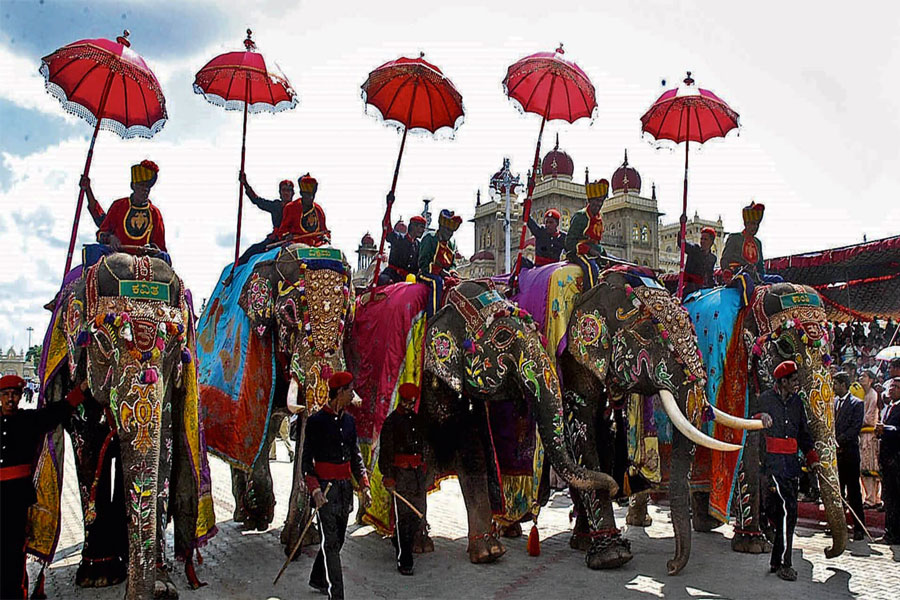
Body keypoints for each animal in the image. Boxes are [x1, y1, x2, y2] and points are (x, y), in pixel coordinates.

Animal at [30, 255, 216, 600]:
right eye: (102, 341)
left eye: (175, 346)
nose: (137, 593)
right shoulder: (77, 372)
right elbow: (89, 441)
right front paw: (98, 577)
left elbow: (165, 446)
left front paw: (162, 586)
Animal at [199, 244, 354, 552]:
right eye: (290, 313)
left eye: (347, 313)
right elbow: (257, 426)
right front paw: (265, 519)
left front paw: (301, 540)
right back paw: (247, 516)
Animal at [346, 280, 620, 564]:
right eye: (502, 337)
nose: (614, 488)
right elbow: (415, 467)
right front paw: (420, 546)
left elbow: (474, 461)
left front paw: (489, 552)